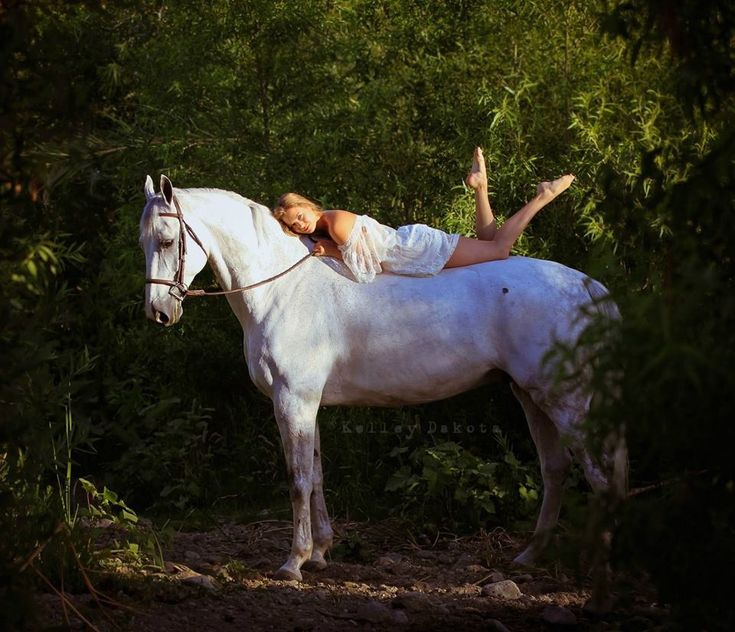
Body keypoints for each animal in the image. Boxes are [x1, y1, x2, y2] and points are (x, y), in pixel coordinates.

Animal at [141, 175, 624, 580]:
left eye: (167, 239)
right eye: (141, 242)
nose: (159, 312)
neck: (284, 291)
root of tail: (589, 288)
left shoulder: (293, 401)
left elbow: (298, 481)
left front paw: (294, 562)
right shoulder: (307, 404)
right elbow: (316, 476)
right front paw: (321, 552)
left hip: (565, 399)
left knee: (599, 477)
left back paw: (597, 566)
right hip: (530, 394)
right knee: (556, 469)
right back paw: (530, 556)